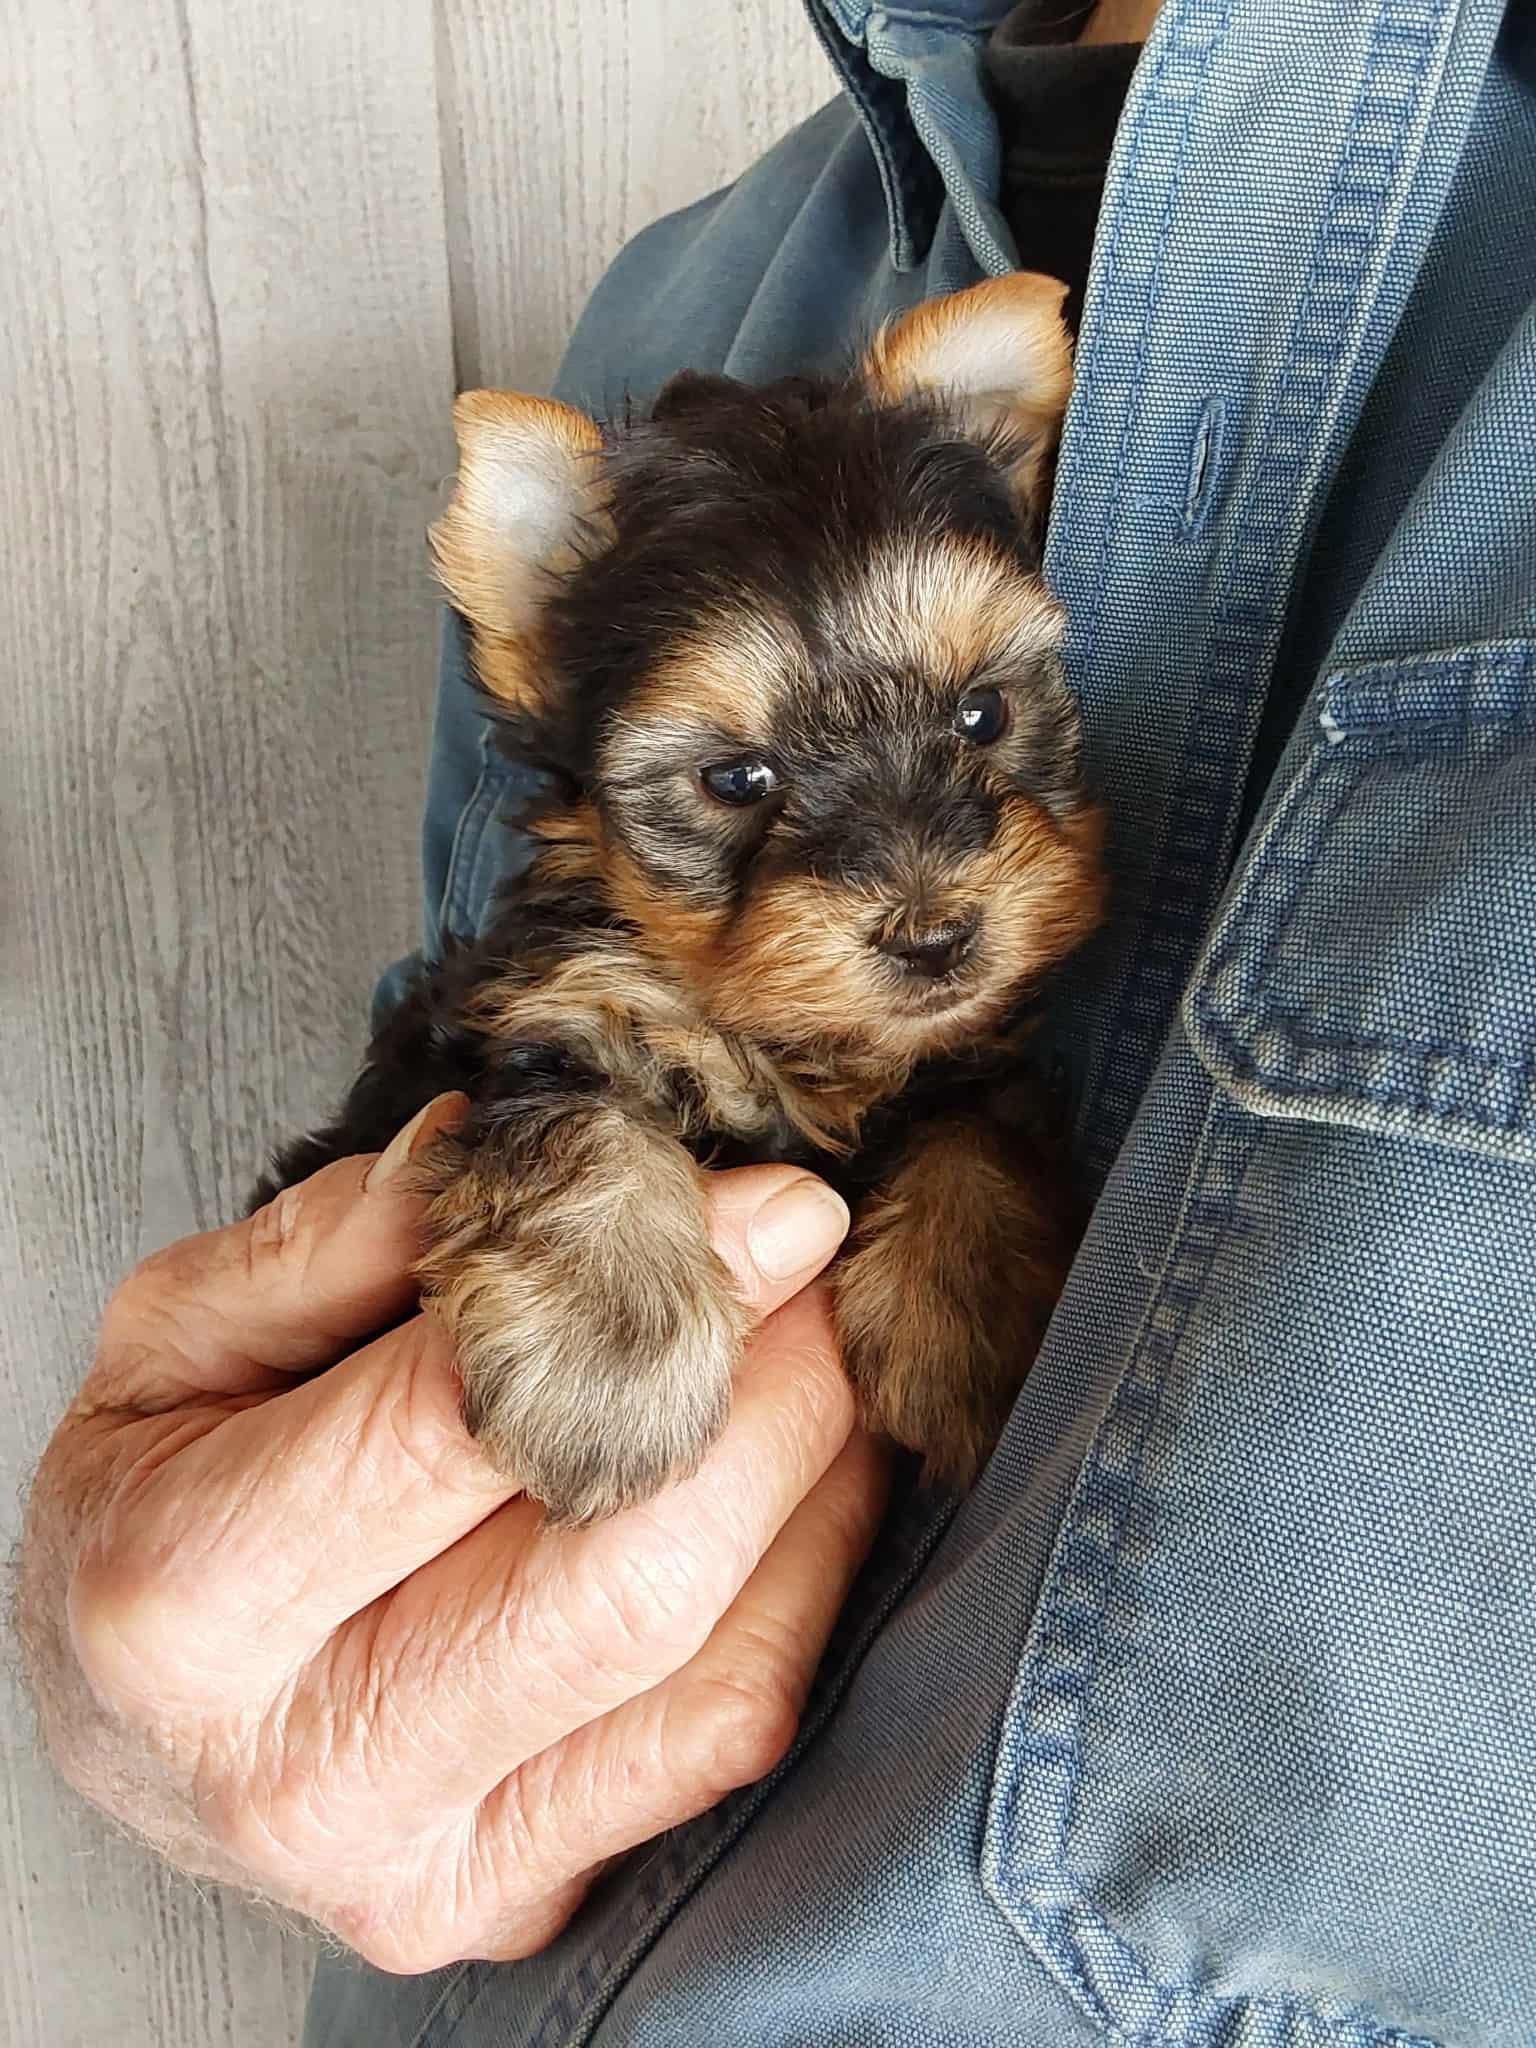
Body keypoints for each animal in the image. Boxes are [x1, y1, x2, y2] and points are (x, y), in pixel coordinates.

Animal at [257, 271, 1105, 1525]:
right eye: (735, 779)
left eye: (983, 713)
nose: (937, 936)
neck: (804, 1046)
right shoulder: (564, 1001)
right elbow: (580, 1115)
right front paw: (604, 1354)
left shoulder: (970, 1047)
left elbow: (981, 1125)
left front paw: (971, 1320)